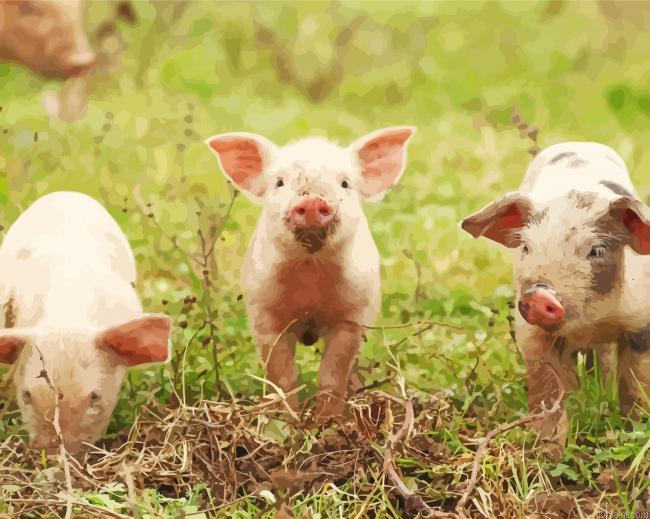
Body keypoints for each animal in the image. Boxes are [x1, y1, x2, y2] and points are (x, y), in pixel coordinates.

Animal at [205, 127, 415, 418]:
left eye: (345, 183)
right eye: (279, 182)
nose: (313, 201)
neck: (310, 274)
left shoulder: (353, 315)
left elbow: (333, 371)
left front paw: (328, 420)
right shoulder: (263, 312)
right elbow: (281, 374)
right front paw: (288, 419)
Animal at [462, 142, 650, 457]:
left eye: (596, 251)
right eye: (526, 247)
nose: (539, 294)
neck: (589, 321)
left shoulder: (641, 320)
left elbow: (636, 383)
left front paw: (635, 430)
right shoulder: (531, 333)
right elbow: (547, 391)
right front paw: (546, 453)